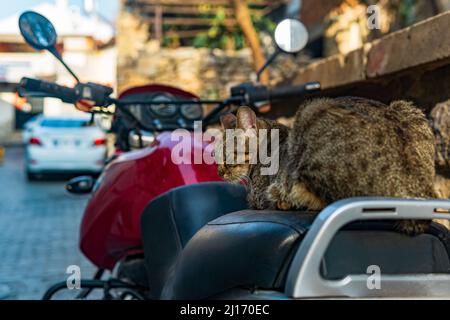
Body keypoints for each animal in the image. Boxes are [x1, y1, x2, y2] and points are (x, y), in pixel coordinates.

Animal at [218, 96, 436, 234]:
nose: (219, 172)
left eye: (228, 154)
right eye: (215, 155)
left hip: (310, 112)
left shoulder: (258, 196)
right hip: (407, 108)